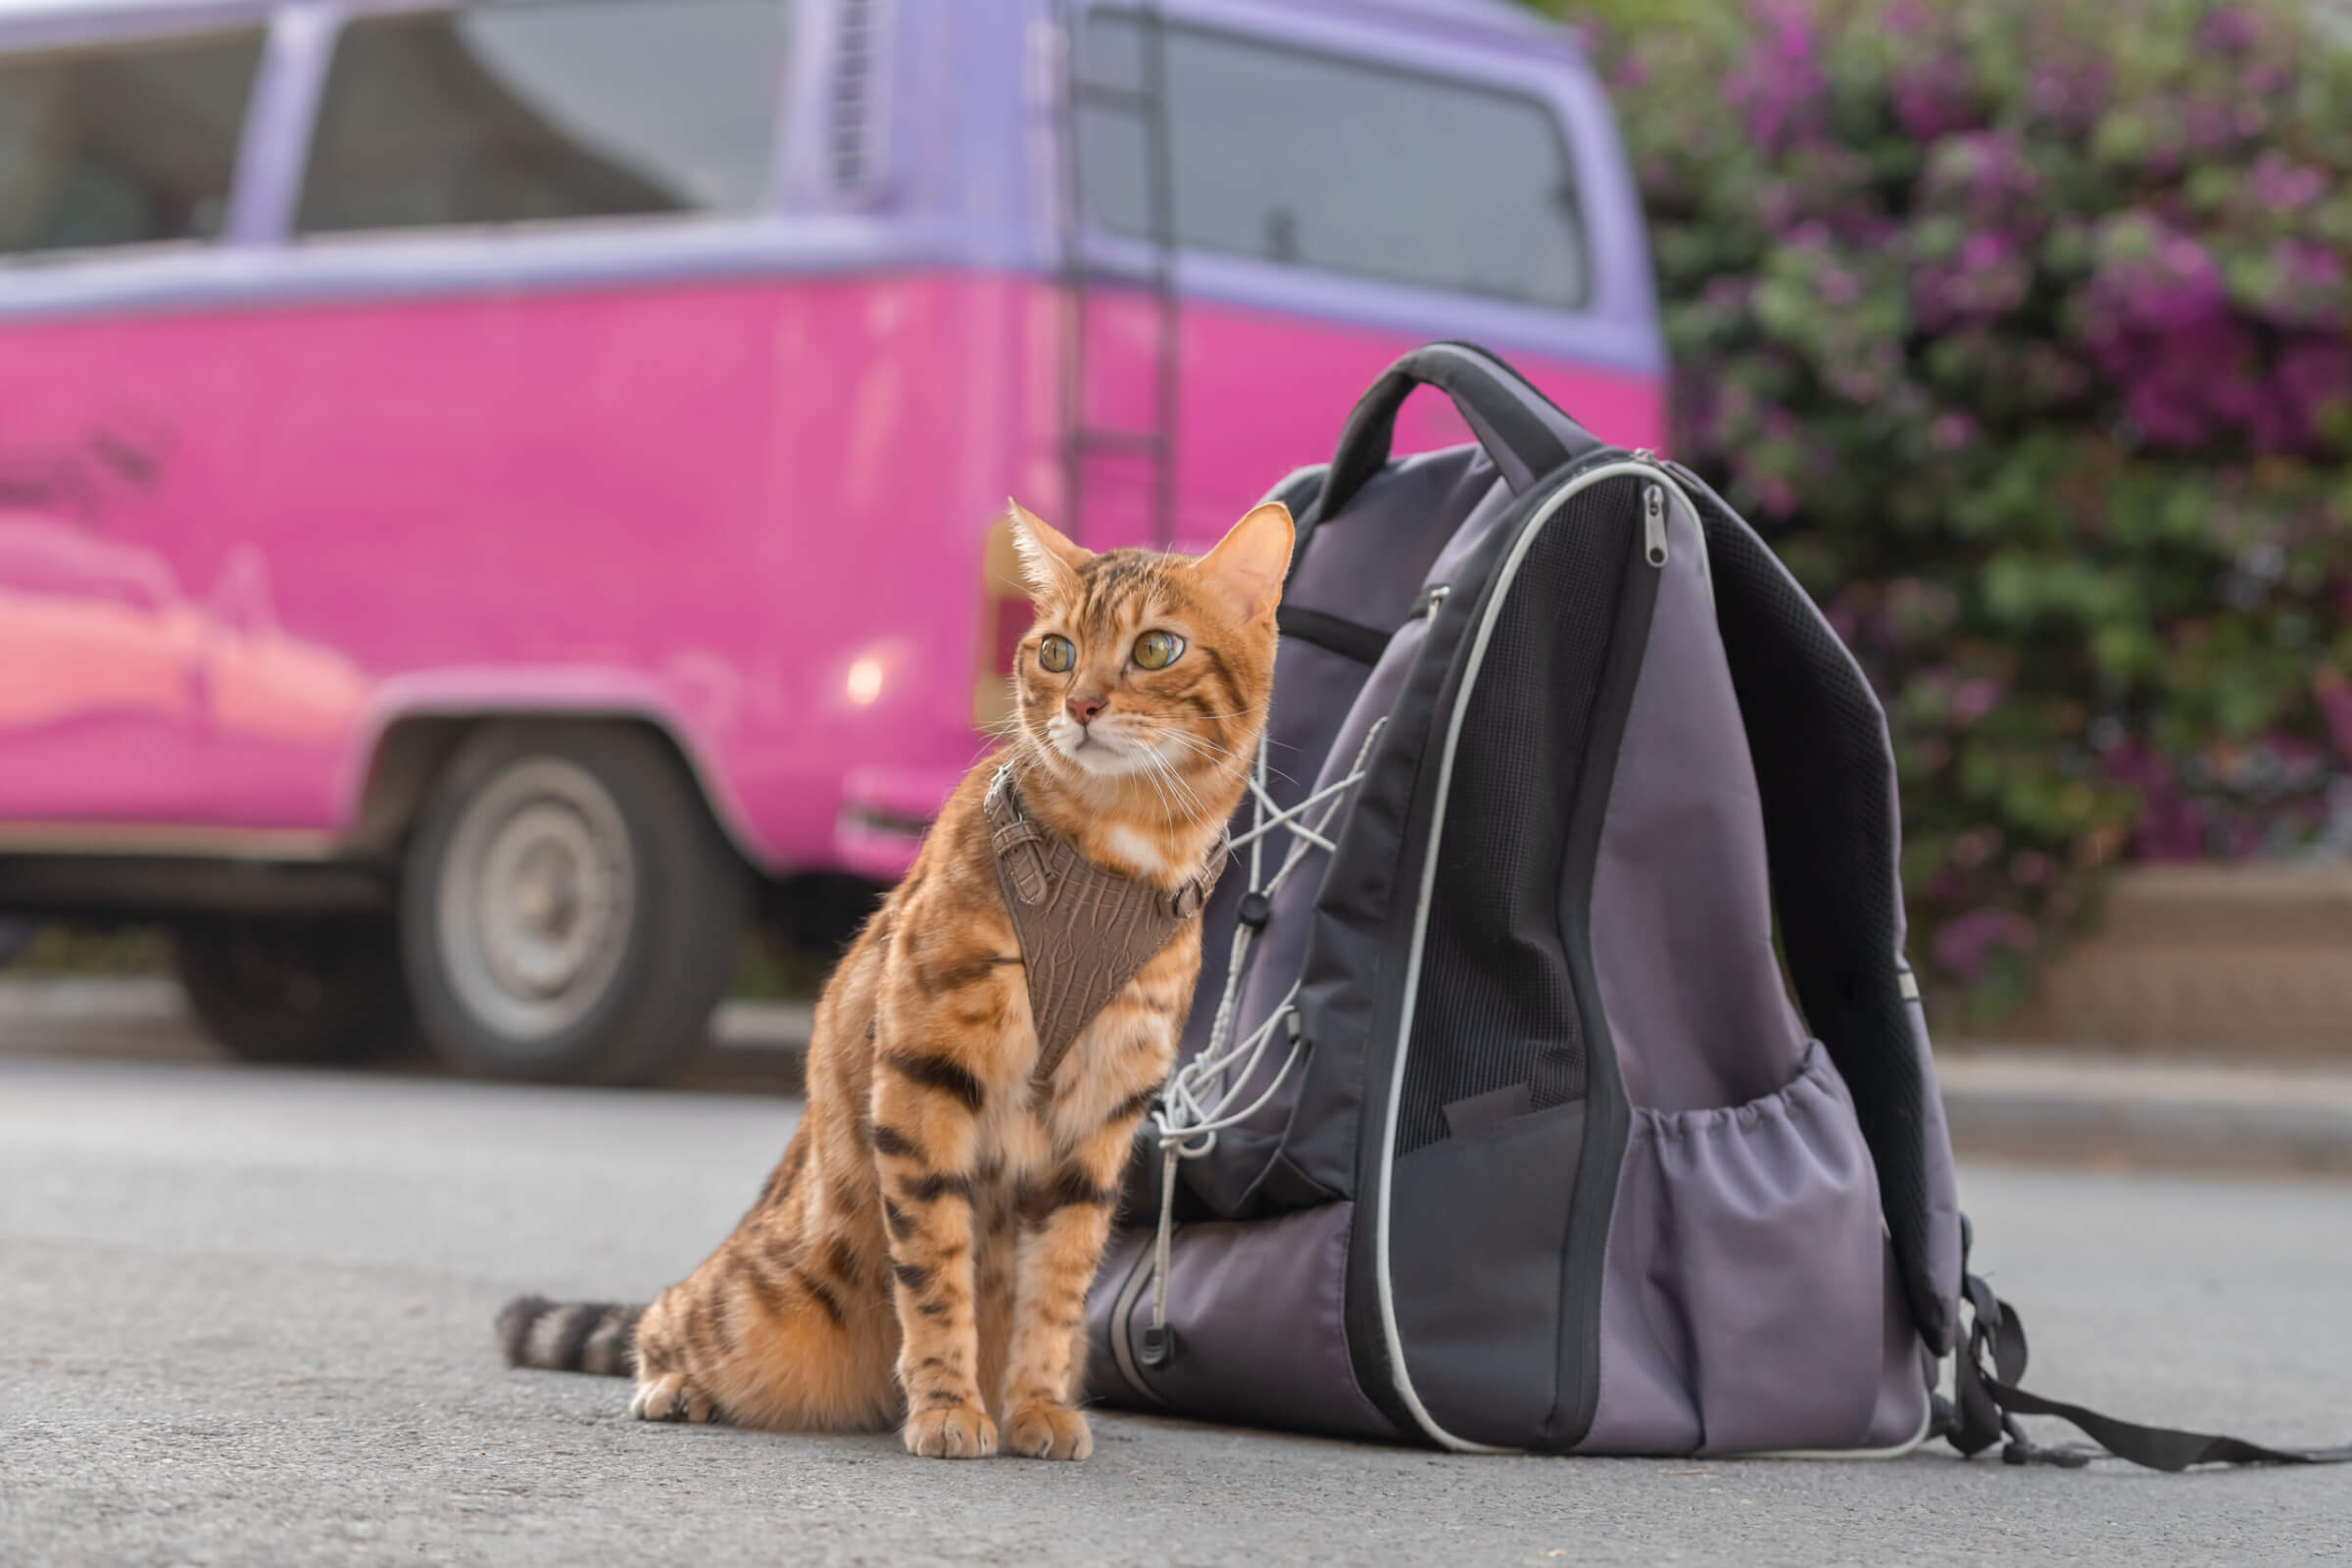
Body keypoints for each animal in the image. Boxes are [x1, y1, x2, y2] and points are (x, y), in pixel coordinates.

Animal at [494, 500, 1289, 1457]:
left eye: (1157, 648)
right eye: (1057, 651)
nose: (1082, 704)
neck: (1116, 856)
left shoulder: (1103, 1114)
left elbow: (1058, 1284)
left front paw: (1034, 1404)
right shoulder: (926, 1074)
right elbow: (936, 1264)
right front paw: (948, 1404)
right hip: (759, 1311)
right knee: (667, 1315)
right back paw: (676, 1387)